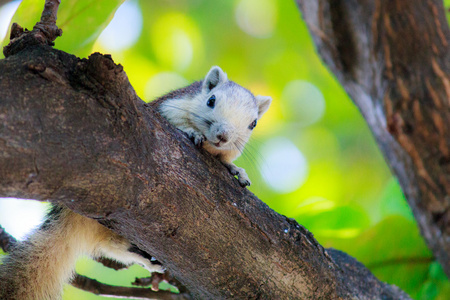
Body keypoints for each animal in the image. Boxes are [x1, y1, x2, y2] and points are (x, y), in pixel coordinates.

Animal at [0, 66, 270, 300]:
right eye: (211, 101)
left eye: (253, 123)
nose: (223, 136)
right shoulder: (168, 108)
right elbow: (179, 123)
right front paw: (192, 132)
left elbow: (228, 162)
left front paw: (238, 171)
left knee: (111, 246)